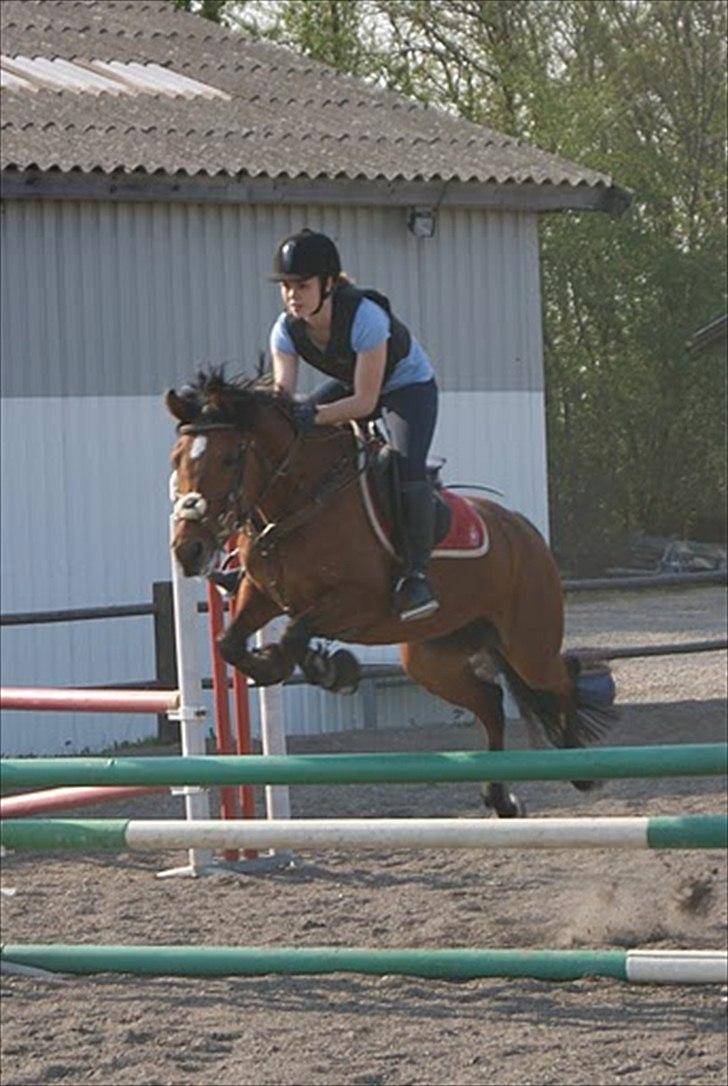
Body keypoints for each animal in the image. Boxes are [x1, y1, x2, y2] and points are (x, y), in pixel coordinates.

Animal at [165, 371, 617, 816]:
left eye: (228, 459)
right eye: (176, 459)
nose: (188, 551)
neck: (302, 502)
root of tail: (526, 533)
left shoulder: (359, 602)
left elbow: (294, 631)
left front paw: (314, 666)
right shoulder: (262, 594)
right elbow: (230, 643)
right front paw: (309, 666)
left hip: (527, 644)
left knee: (561, 678)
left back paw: (581, 768)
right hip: (430, 658)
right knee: (491, 701)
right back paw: (500, 798)